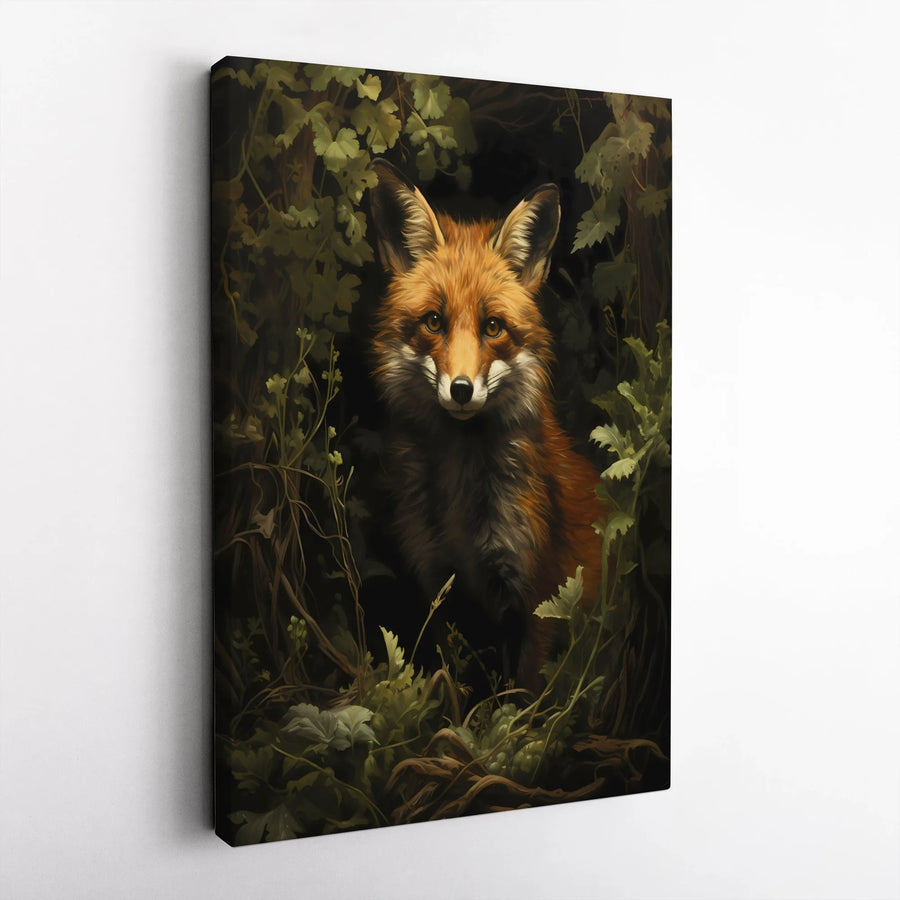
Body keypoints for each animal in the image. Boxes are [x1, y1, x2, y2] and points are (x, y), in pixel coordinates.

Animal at [368, 158, 605, 692]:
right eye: (434, 321)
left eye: (492, 327)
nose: (461, 390)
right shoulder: (441, 589)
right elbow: (456, 690)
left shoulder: (537, 599)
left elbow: (521, 696)